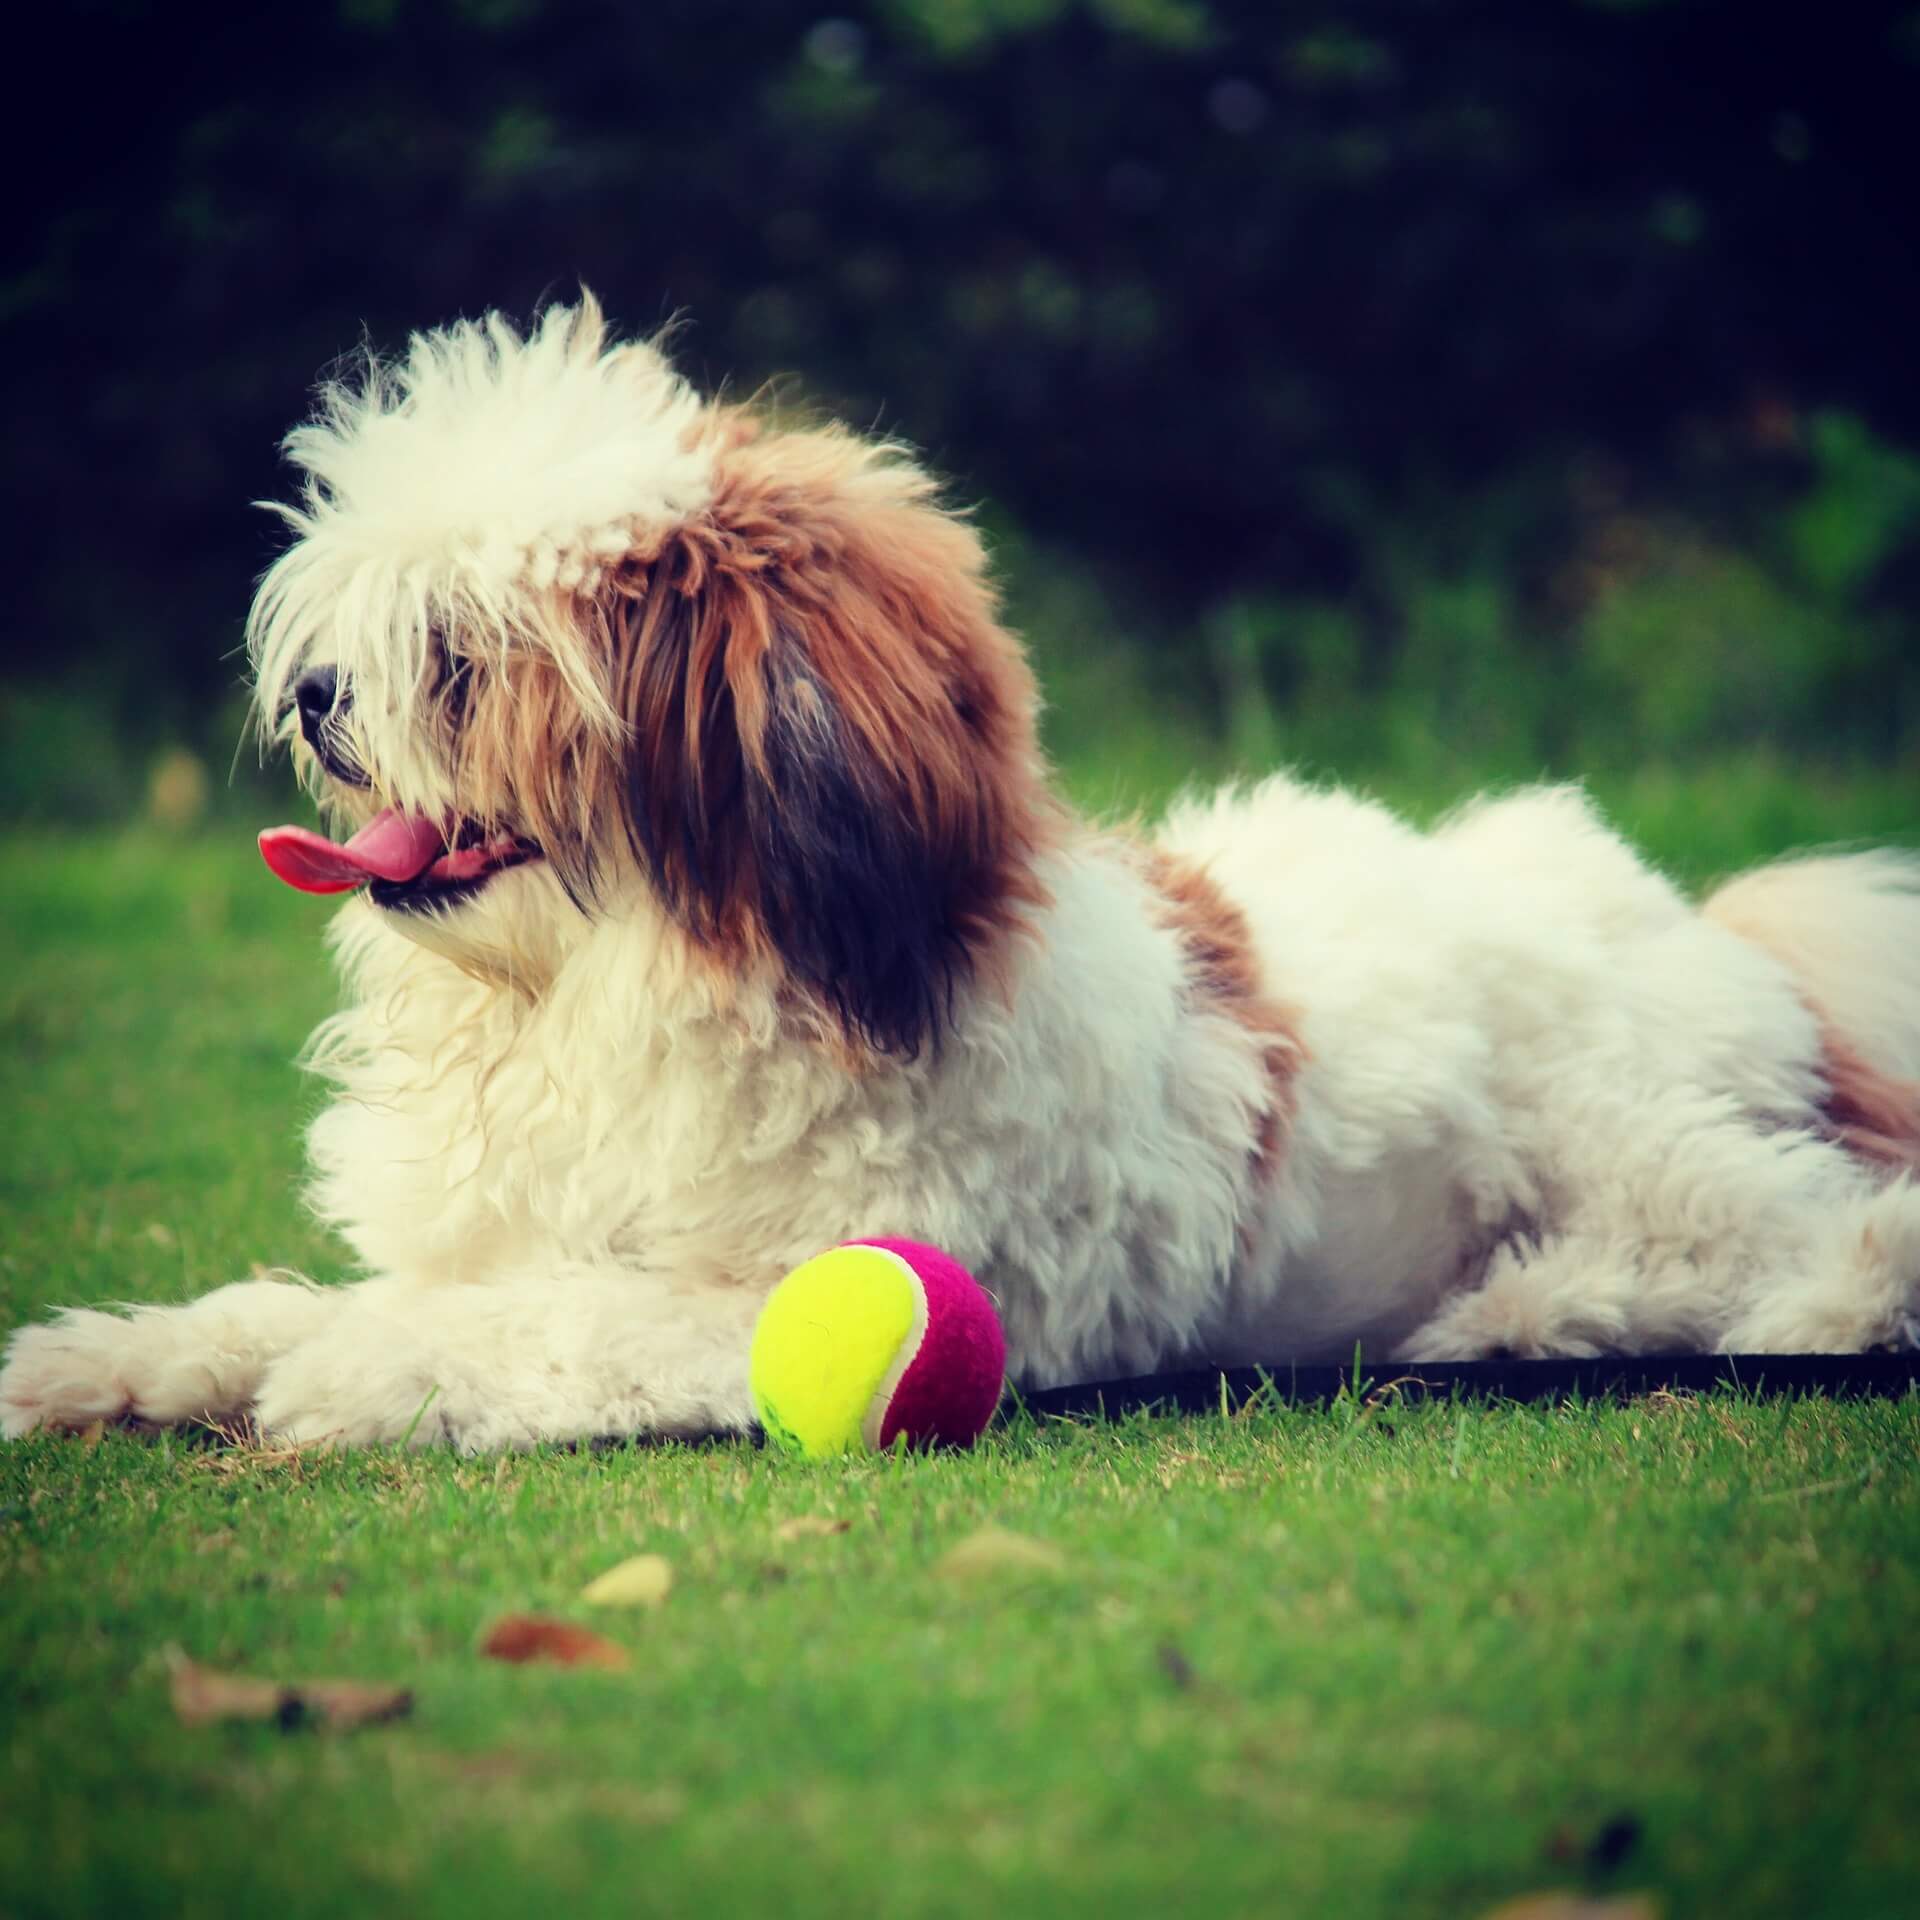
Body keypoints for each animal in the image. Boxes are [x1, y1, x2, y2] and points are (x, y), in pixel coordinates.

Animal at [3, 291, 1920, 1443]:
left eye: (461, 655)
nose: (320, 699)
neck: (629, 982)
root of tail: (1730, 940)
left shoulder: (783, 1291)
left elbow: (545, 1323)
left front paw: (362, 1365)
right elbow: (301, 1303)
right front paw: (123, 1356)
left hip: (1645, 1142)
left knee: (1832, 1233)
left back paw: (1652, 1315)